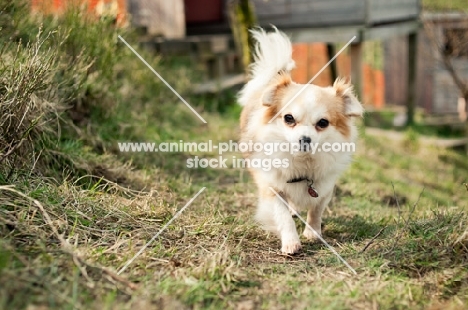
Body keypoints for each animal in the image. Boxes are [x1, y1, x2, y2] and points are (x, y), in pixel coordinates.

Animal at [239, 27, 364, 254]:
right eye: (289, 118)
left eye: (323, 123)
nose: (305, 139)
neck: (303, 164)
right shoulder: (272, 187)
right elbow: (282, 215)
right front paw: (291, 242)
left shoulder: (324, 188)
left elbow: (316, 210)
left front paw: (313, 232)